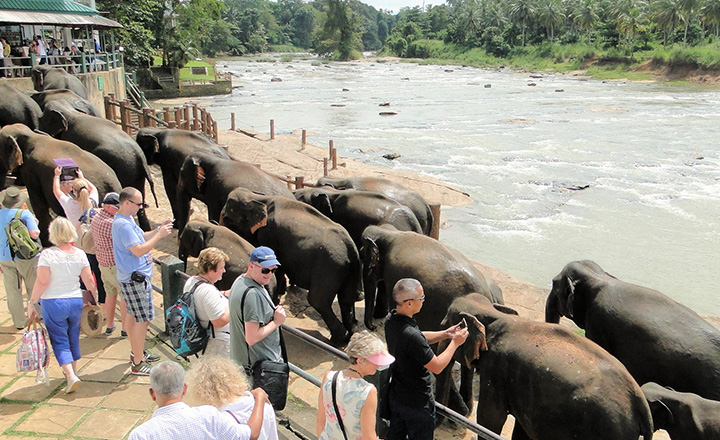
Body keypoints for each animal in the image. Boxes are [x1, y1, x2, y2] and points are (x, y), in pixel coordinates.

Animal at [219, 187, 362, 346]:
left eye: (227, 219)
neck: (257, 198)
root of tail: (351, 247)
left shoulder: (269, 234)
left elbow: (276, 266)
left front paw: (275, 300)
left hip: (329, 267)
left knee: (318, 300)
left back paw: (338, 339)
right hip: (349, 269)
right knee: (346, 299)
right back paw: (347, 336)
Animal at [436, 292, 656, 440]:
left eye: (444, 327)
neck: (493, 313)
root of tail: (641, 405)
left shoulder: (497, 369)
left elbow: (490, 418)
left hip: (609, 428)